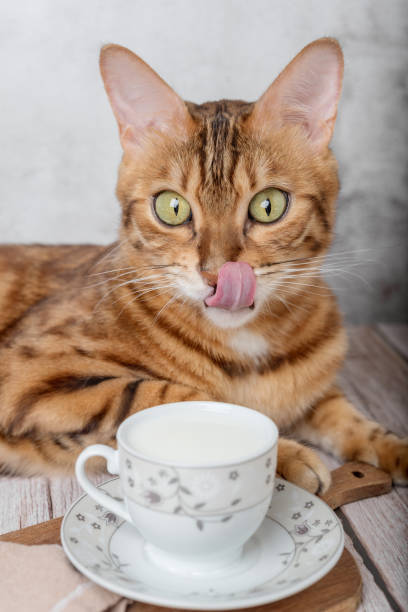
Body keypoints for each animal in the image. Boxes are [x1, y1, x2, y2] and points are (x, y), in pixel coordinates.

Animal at [0, 39, 406, 492]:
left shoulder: (317, 391)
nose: (218, 275)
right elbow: (181, 398)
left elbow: (345, 414)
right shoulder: (27, 373)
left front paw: (393, 447)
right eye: (172, 208)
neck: (249, 352)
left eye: (269, 205)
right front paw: (286, 452)